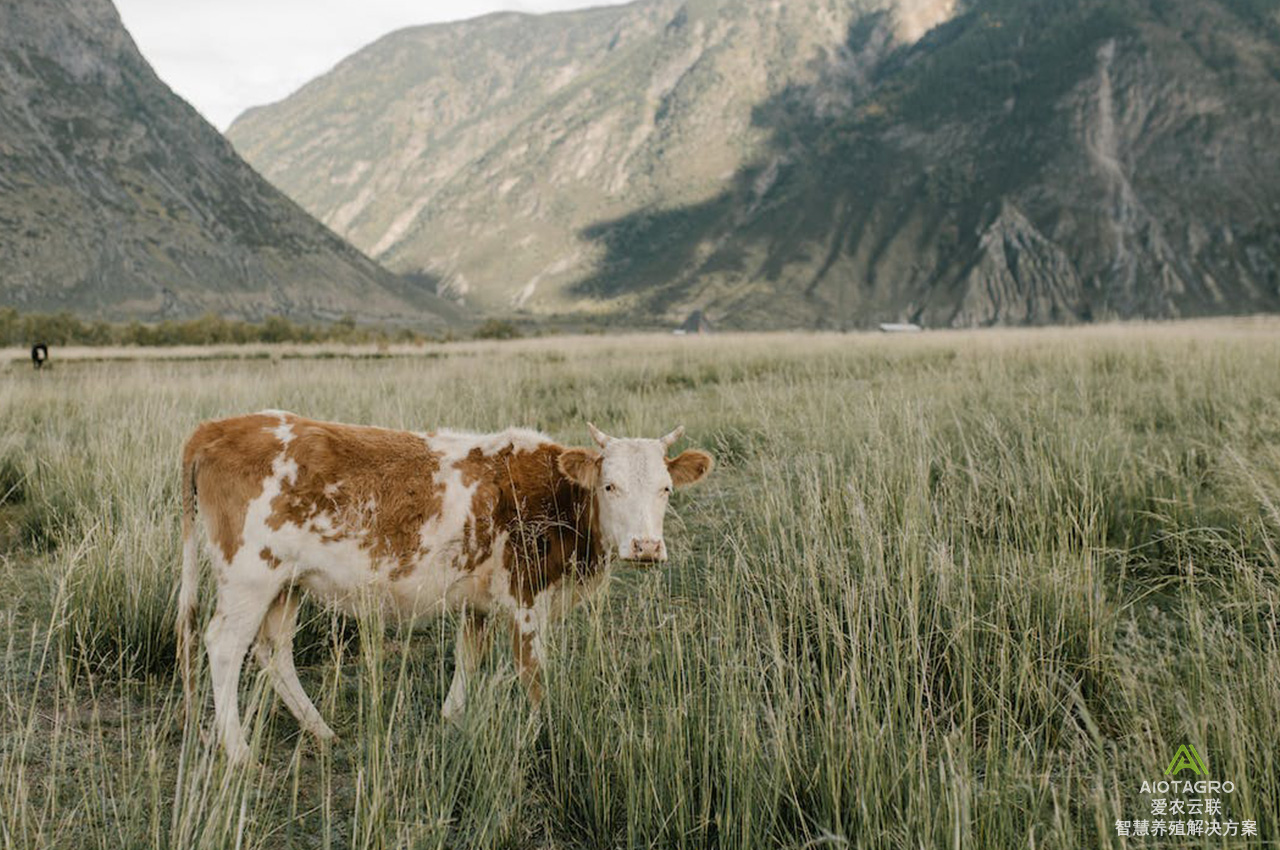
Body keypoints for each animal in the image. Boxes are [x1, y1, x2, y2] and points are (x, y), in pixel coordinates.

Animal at [172, 412, 711, 762]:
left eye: (665, 489)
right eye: (610, 486)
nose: (646, 546)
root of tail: (217, 427)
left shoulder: (480, 602)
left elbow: (468, 656)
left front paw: (452, 717)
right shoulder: (526, 600)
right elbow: (533, 674)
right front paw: (545, 735)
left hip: (287, 584)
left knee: (274, 650)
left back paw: (320, 731)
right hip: (249, 576)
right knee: (225, 644)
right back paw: (238, 750)